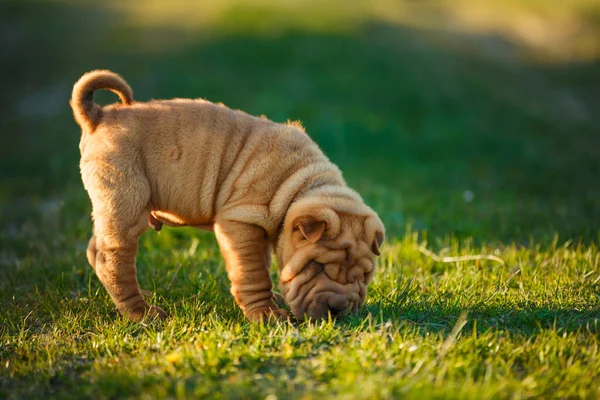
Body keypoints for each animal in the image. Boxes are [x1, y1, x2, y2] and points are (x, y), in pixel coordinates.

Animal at [71, 70, 384, 324]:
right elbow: (253, 273)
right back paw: (142, 312)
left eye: (364, 276)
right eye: (316, 267)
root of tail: (100, 116)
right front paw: (267, 314)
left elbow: (264, 267)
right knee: (114, 258)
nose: (338, 309)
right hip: (126, 200)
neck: (298, 183)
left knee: (96, 250)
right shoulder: (241, 222)